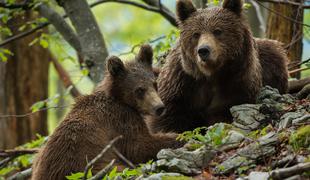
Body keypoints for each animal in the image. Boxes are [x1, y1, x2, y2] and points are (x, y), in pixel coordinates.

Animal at [149, 0, 290, 133]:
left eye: (217, 31)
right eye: (196, 34)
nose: (203, 50)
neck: (212, 74)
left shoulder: (237, 82)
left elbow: (223, 111)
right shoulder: (181, 85)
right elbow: (168, 118)